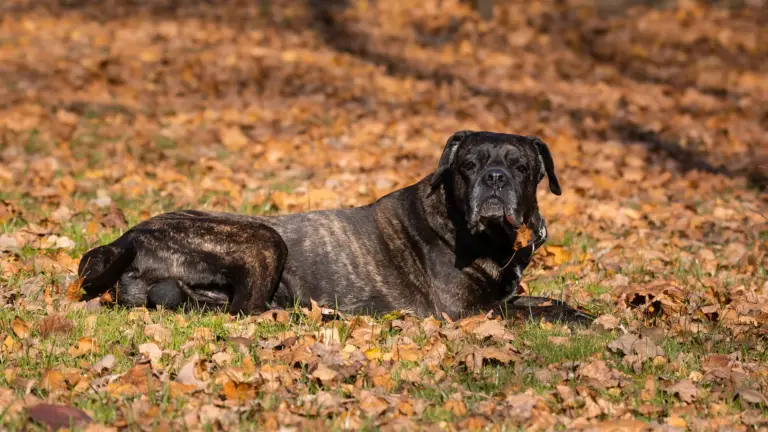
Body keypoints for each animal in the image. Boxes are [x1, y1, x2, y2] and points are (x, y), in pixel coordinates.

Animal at [78, 132, 592, 324]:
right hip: (266, 239)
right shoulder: (465, 311)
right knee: (247, 311)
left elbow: (548, 301)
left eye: (522, 167)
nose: (496, 179)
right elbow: (535, 312)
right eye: (468, 165)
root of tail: (125, 239)